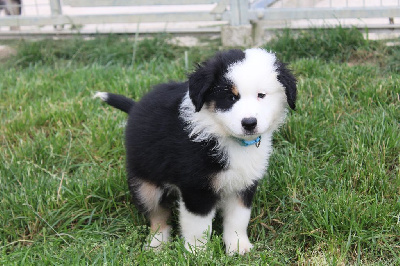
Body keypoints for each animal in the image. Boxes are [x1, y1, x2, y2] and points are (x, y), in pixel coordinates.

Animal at [94, 48, 296, 256]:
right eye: (230, 97)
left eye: (261, 95)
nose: (249, 123)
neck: (225, 136)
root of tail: (135, 107)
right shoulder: (196, 187)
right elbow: (199, 226)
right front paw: (197, 253)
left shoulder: (243, 183)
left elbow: (238, 219)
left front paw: (239, 247)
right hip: (145, 182)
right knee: (158, 215)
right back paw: (157, 244)